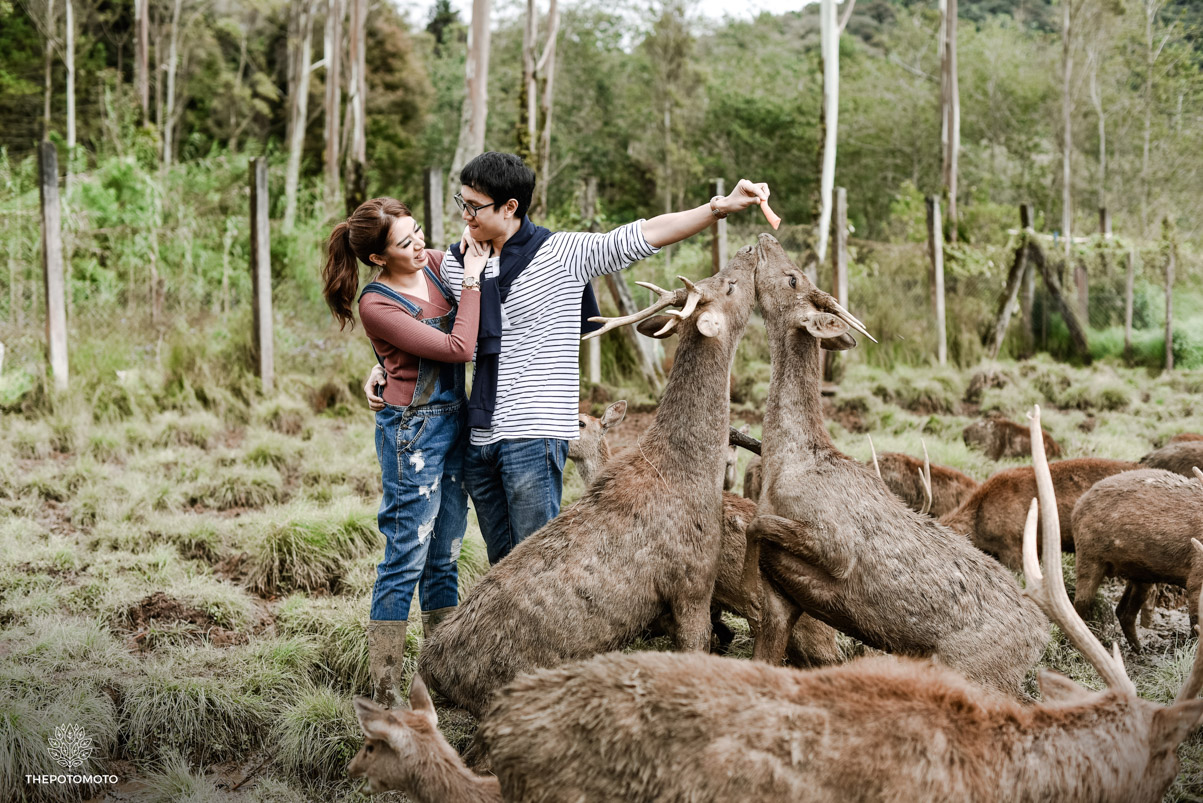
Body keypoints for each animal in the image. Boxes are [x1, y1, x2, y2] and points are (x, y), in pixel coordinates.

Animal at [736, 235, 1049, 698]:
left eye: (793, 278)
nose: (766, 238)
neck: (787, 463)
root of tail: (1040, 637)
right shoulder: (784, 601)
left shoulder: (837, 545)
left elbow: (758, 524)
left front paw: (744, 583)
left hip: (977, 669)